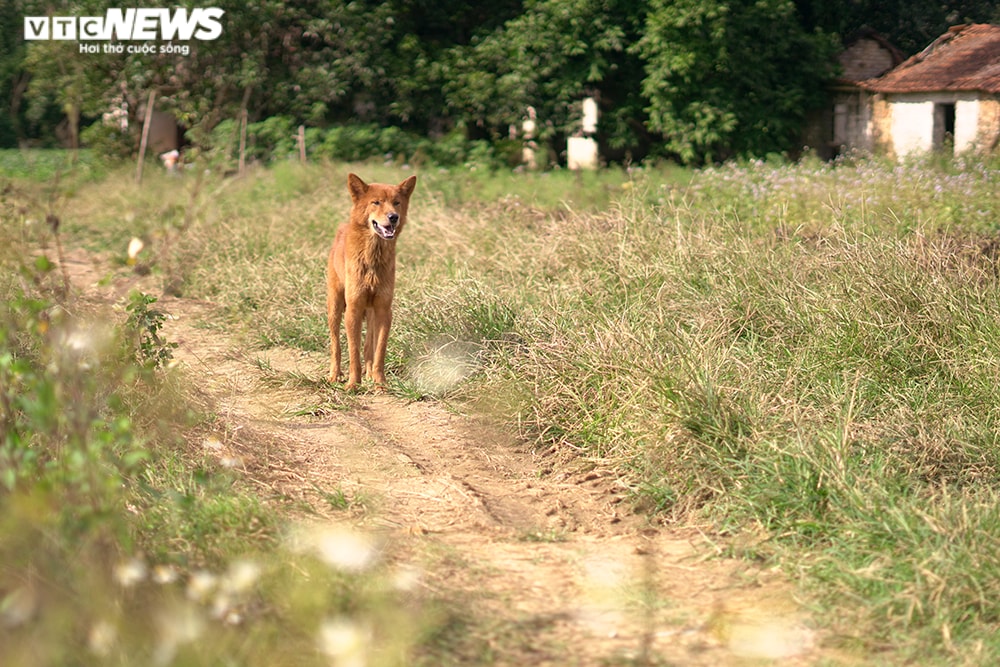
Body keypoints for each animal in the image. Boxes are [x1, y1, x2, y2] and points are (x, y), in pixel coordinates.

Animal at [326, 172, 416, 392]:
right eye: (376, 202)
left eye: (396, 203)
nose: (393, 217)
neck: (372, 258)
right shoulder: (353, 309)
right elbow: (353, 353)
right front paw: (352, 384)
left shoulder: (384, 310)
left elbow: (379, 352)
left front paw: (380, 383)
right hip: (335, 307)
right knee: (335, 345)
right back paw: (335, 375)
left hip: (372, 312)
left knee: (368, 347)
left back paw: (369, 376)